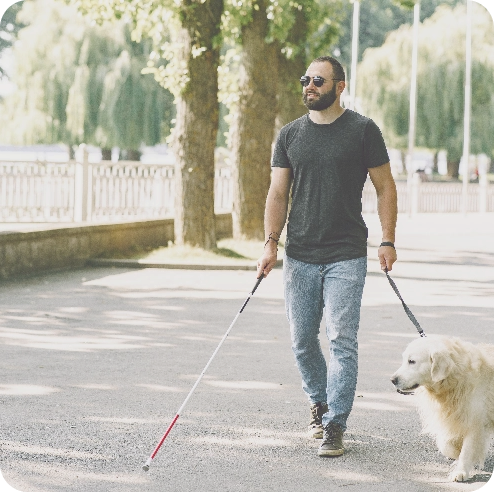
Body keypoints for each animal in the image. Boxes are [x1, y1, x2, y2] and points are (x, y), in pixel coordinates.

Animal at [390, 334, 494, 480]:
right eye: (404, 360)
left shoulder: (475, 419)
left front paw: (460, 471)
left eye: (412, 361)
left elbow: (467, 449)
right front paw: (456, 453)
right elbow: (446, 445)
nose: (393, 380)